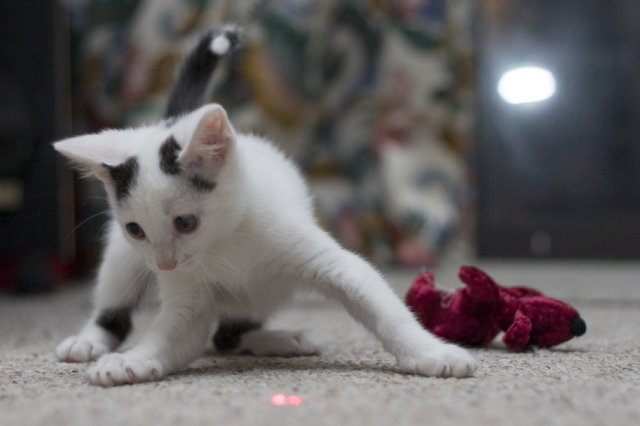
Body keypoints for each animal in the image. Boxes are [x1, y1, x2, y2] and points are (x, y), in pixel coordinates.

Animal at [53, 25, 476, 386]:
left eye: (186, 223)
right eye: (136, 229)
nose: (165, 265)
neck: (226, 242)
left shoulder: (326, 258)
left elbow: (378, 301)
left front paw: (431, 352)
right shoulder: (184, 291)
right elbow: (175, 331)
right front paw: (134, 360)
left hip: (267, 292)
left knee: (229, 334)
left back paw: (284, 339)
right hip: (123, 258)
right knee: (118, 302)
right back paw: (90, 340)